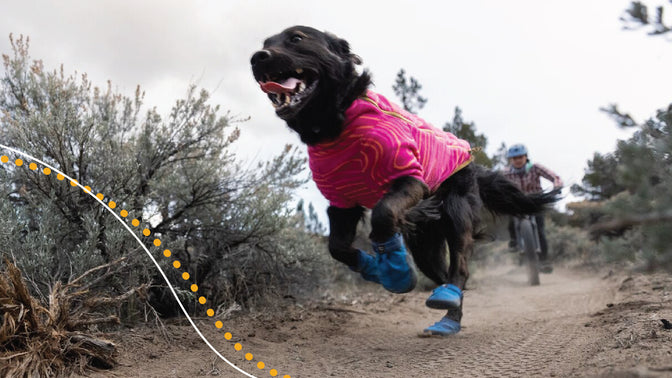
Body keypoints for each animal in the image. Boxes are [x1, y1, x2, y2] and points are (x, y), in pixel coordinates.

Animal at [252, 25, 556, 336]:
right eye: (265, 43)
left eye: (296, 38)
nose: (257, 58)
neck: (337, 126)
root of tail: (469, 154)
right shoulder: (341, 202)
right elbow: (337, 246)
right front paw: (373, 267)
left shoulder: (409, 177)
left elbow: (383, 214)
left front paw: (395, 267)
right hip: (425, 248)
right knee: (444, 275)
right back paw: (449, 315)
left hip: (457, 208)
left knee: (459, 264)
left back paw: (448, 302)